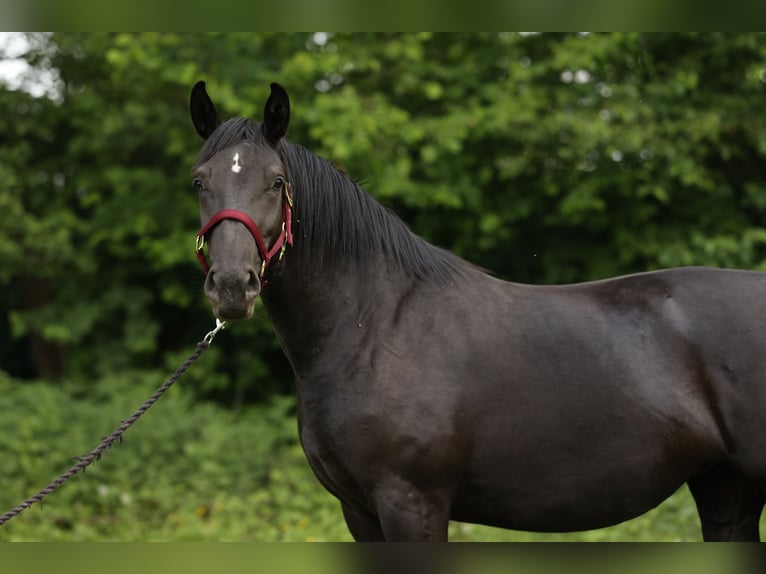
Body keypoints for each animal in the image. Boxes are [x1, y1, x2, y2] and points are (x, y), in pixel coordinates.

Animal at [188, 80, 766, 541]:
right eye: (199, 181)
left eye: (276, 181)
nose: (233, 286)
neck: (374, 328)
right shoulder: (359, 512)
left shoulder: (411, 503)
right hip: (726, 492)